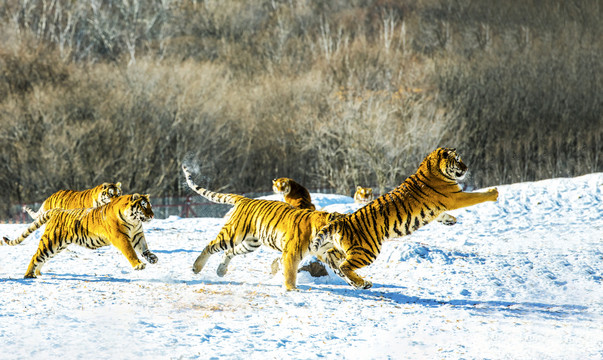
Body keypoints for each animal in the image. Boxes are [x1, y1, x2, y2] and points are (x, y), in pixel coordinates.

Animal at [4, 194, 156, 278]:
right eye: (143, 206)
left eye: (150, 205)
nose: (152, 215)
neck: (134, 221)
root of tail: (57, 210)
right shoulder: (121, 237)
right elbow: (130, 252)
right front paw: (138, 265)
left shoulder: (137, 235)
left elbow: (144, 248)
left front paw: (152, 258)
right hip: (50, 242)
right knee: (35, 256)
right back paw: (29, 275)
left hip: (57, 247)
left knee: (42, 258)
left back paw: (38, 273)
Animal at [182, 165, 350, 292]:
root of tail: (245, 199)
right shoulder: (291, 254)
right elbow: (290, 272)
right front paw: (291, 288)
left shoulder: (326, 254)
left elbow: (344, 272)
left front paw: (357, 283)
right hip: (231, 235)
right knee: (210, 246)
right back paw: (196, 267)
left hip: (250, 243)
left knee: (229, 252)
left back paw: (221, 271)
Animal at [312, 147, 500, 290]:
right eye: (458, 159)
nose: (466, 168)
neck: (434, 168)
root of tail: (342, 220)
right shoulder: (456, 196)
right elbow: (476, 196)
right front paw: (494, 193)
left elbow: (442, 215)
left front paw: (450, 220)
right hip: (367, 251)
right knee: (344, 266)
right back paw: (362, 283)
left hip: (345, 248)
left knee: (334, 259)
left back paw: (360, 282)